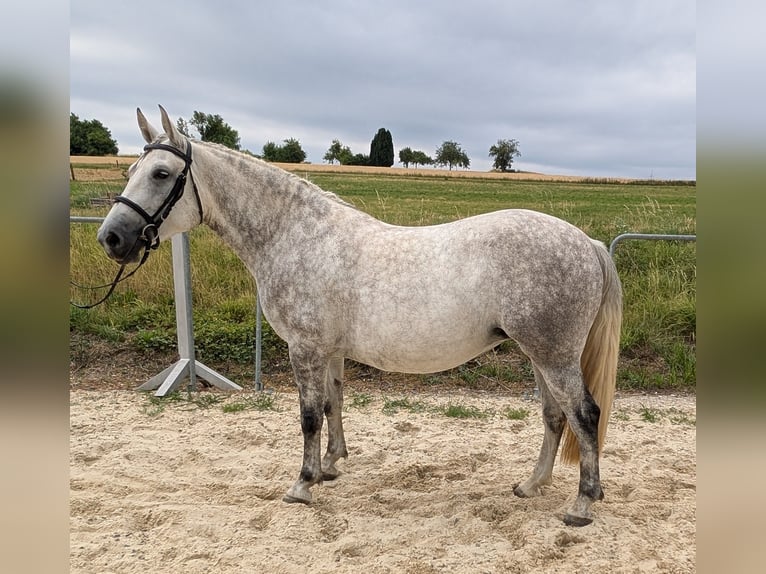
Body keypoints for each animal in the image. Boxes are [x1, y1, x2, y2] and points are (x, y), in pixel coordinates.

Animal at [97, 106, 622, 526]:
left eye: (161, 173)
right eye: (131, 170)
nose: (111, 238)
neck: (295, 236)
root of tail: (588, 243)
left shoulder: (305, 348)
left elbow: (309, 415)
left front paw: (303, 484)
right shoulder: (328, 351)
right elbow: (334, 404)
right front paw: (331, 467)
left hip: (553, 355)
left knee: (584, 414)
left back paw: (581, 505)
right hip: (539, 355)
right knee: (555, 416)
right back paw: (531, 486)